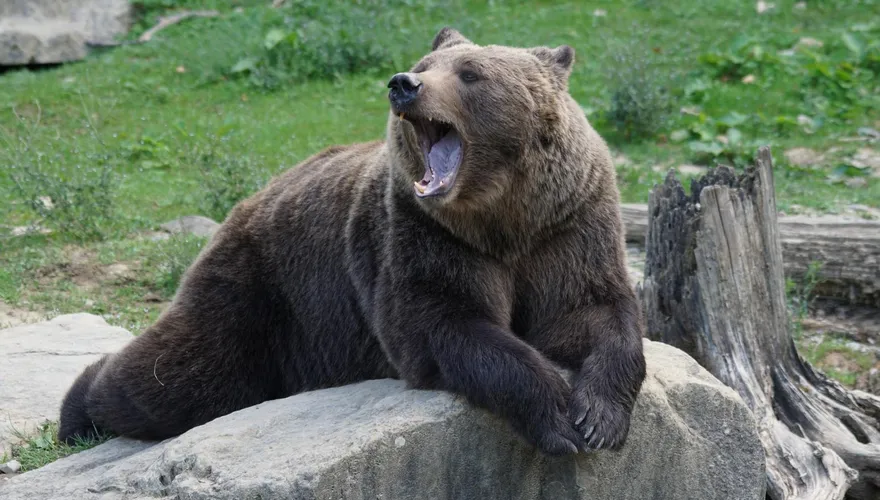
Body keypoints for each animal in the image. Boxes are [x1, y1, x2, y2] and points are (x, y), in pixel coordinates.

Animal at [59, 27, 646, 456]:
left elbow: (592, 312)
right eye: (426, 65)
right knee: (181, 377)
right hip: (263, 293)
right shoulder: (423, 235)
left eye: (470, 73)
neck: (501, 216)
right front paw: (557, 417)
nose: (403, 83)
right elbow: (446, 324)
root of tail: (248, 201)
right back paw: (78, 411)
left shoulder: (567, 225)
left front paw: (598, 419)